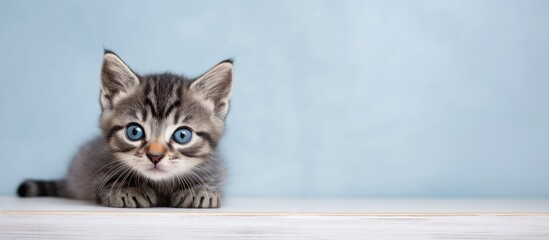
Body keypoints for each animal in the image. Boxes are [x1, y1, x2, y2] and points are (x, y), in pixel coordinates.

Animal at [17, 51, 231, 208]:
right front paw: (126, 189)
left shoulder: (216, 165)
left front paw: (200, 190)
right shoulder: (96, 163)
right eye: (134, 132)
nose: (155, 156)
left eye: (182, 135)